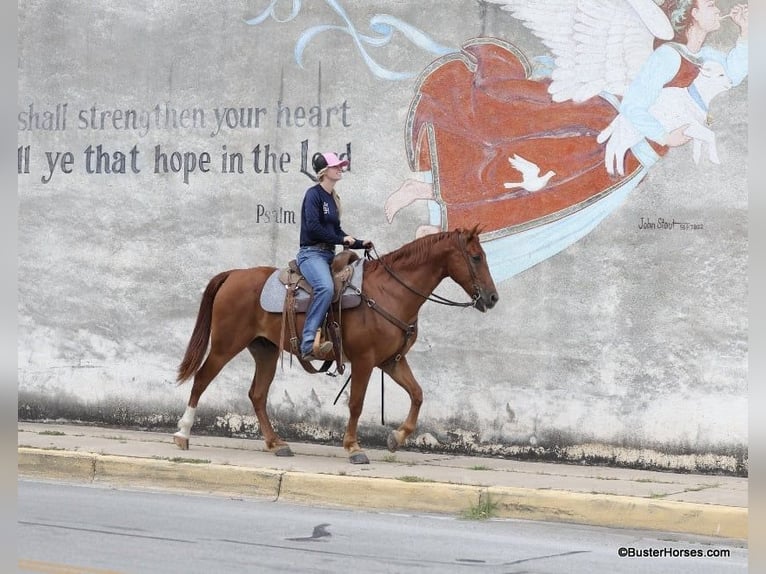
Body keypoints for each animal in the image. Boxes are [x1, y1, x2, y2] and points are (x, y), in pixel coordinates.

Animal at [172, 227, 498, 466]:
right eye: (476, 257)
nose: (493, 298)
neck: (390, 291)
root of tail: (233, 275)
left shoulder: (392, 361)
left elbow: (417, 394)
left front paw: (396, 438)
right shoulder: (365, 361)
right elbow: (356, 404)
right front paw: (353, 447)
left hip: (264, 350)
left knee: (257, 395)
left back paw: (276, 443)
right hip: (225, 345)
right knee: (201, 380)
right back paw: (182, 433)